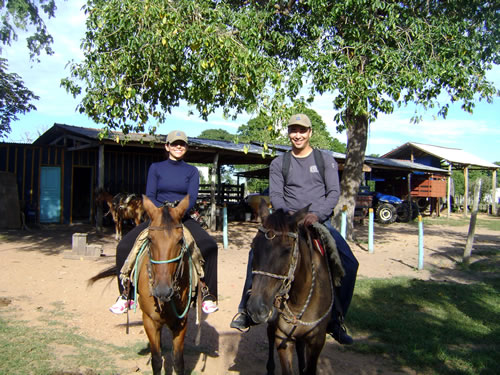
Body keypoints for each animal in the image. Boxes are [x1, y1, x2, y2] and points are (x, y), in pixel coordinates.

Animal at [89, 195, 194, 374]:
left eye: (180, 240)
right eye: (150, 239)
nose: (162, 290)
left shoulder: (181, 322)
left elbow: (179, 362)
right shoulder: (149, 321)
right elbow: (157, 360)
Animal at [247, 201, 334, 375]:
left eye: (287, 250)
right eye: (253, 246)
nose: (256, 309)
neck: (299, 299)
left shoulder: (317, 341)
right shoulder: (283, 337)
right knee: (270, 334)